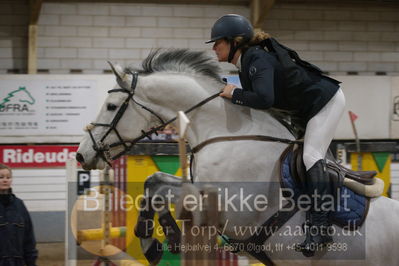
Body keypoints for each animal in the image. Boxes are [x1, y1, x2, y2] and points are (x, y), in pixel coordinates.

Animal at [77, 48, 399, 264]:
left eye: (111, 106)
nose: (82, 155)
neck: (227, 132)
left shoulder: (230, 208)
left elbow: (159, 187)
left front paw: (154, 241)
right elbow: (153, 181)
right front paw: (159, 239)